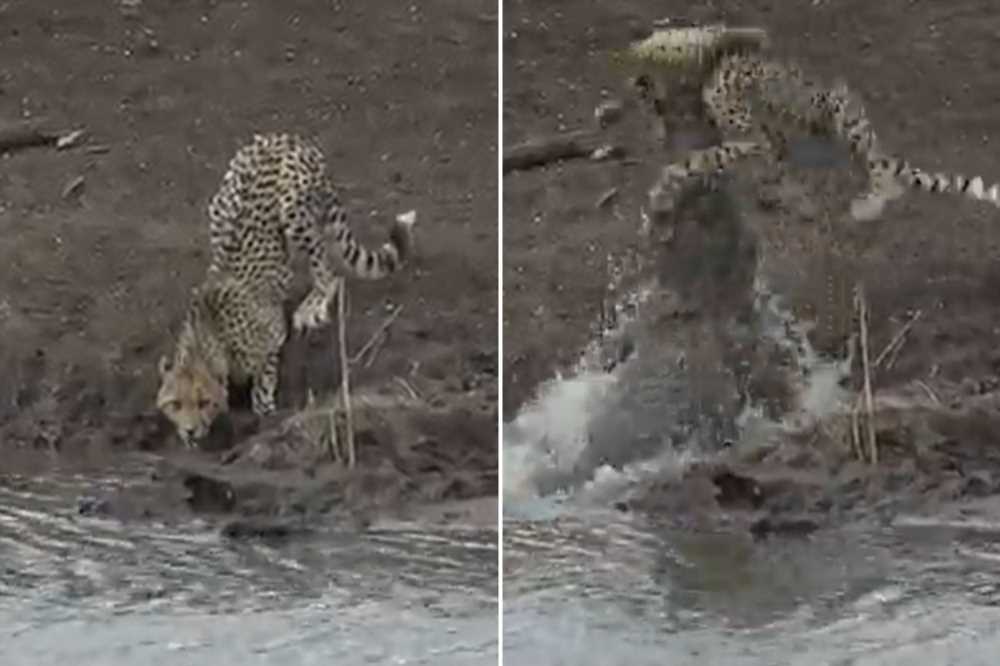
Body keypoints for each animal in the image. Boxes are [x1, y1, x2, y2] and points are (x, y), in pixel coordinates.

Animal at [157, 132, 416, 448]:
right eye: (175, 404)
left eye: (203, 402)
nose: (190, 430)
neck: (209, 336)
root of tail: (283, 136)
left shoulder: (272, 335)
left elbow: (265, 374)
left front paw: (263, 406)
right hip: (220, 205)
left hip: (294, 210)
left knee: (328, 271)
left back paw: (313, 305)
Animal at [616, 25, 1000, 223]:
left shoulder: (751, 133)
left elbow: (701, 157)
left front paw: (663, 187)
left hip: (842, 112)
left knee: (884, 175)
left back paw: (868, 203)